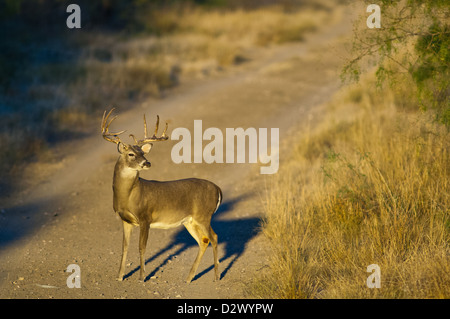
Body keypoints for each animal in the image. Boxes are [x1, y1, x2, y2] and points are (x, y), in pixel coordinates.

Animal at [101, 109, 221, 282]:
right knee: (204, 241)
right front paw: (119, 276)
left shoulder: (145, 217)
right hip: (190, 221)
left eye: (142, 153)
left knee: (214, 237)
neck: (128, 197)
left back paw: (217, 276)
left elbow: (141, 247)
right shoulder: (125, 220)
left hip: (204, 215)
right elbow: (124, 247)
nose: (147, 163)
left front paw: (142, 277)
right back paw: (189, 277)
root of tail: (218, 189)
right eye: (131, 154)